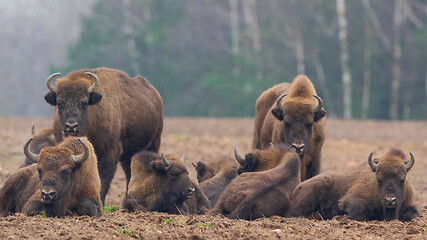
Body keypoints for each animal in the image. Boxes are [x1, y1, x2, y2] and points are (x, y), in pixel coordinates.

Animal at [44, 67, 163, 202]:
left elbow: (103, 181)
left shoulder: (109, 153)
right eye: (59, 102)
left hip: (154, 142)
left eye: (84, 102)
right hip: (128, 154)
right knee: (129, 172)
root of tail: (156, 94)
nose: (71, 126)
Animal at [290, 149, 420, 222]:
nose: (389, 200)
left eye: (402, 180)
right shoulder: (350, 199)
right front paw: (341, 217)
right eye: (379, 179)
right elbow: (360, 211)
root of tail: (297, 187)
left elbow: (413, 215)